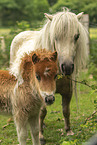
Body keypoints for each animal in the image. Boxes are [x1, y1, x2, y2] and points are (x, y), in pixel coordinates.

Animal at [9, 8, 88, 142]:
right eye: (55, 37)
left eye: (76, 36)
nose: (67, 67)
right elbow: (42, 113)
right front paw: (41, 136)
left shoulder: (68, 92)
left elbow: (66, 110)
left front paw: (68, 131)